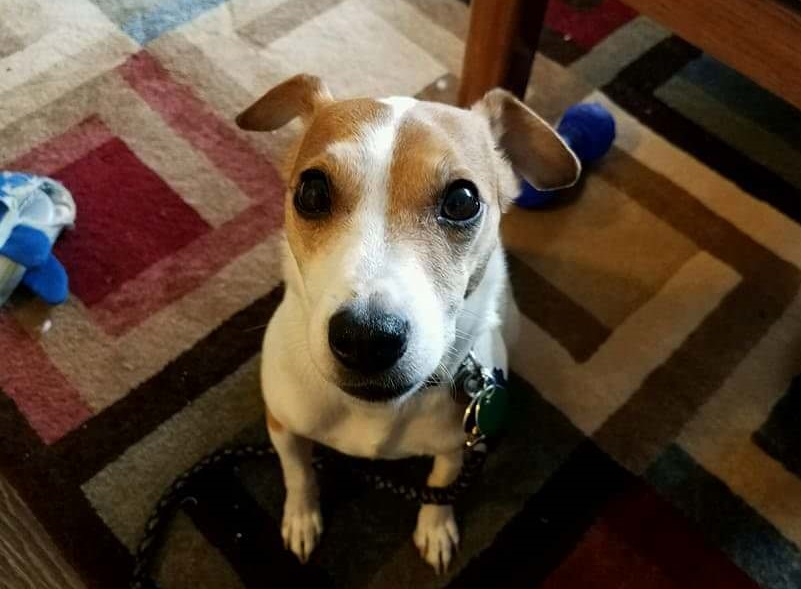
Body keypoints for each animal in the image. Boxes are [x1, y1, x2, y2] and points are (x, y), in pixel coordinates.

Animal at [234, 76, 580, 572]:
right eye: (312, 192)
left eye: (462, 201)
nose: (365, 339)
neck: (373, 411)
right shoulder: (283, 425)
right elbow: (298, 474)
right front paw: (301, 519)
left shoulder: (457, 445)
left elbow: (441, 486)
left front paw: (435, 528)